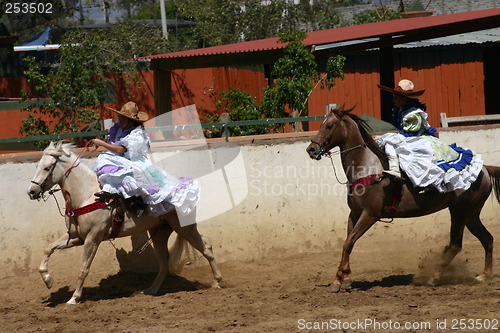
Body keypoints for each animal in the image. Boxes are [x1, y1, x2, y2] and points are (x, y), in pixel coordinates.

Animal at [27, 141, 222, 304]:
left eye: (47, 168)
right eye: (37, 166)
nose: (32, 191)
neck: (87, 196)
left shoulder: (93, 239)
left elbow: (84, 269)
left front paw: (74, 298)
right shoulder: (76, 237)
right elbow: (49, 248)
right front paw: (48, 280)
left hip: (184, 228)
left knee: (206, 248)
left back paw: (218, 282)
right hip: (160, 232)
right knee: (164, 262)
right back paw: (151, 290)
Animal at [304, 104, 500, 290]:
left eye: (329, 126)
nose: (311, 149)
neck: (367, 168)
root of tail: (485, 169)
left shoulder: (370, 215)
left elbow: (348, 242)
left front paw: (340, 279)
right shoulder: (355, 213)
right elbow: (347, 243)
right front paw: (341, 279)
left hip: (459, 213)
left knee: (455, 245)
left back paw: (432, 278)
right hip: (471, 215)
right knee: (487, 239)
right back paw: (485, 275)